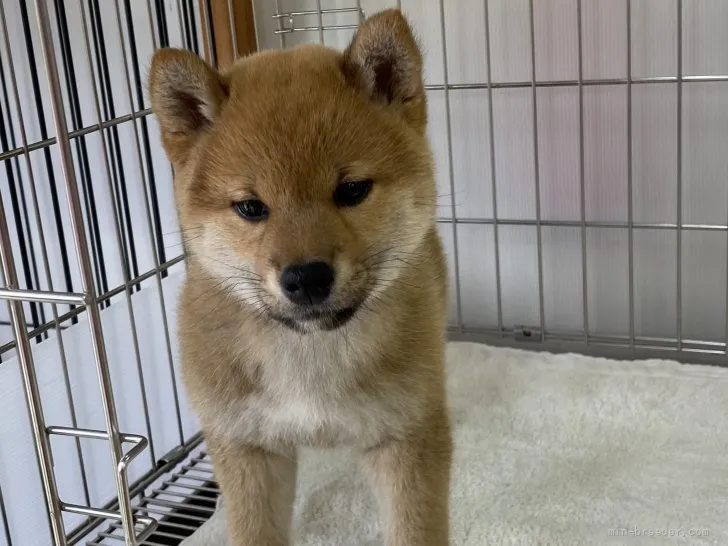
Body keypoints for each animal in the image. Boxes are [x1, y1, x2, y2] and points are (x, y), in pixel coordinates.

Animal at [149, 8, 450, 544]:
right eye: (251, 207)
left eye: (351, 190)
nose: (307, 278)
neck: (310, 356)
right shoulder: (248, 448)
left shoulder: (405, 437)